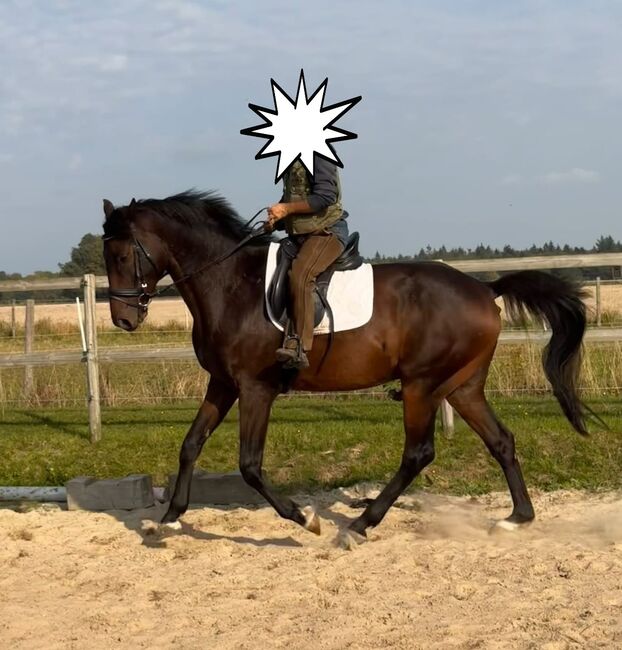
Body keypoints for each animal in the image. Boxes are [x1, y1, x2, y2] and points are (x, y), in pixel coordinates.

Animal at [102, 190, 592, 540]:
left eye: (122, 256)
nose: (124, 320)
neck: (230, 285)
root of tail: (485, 289)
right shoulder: (222, 383)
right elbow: (190, 444)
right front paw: (169, 518)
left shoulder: (256, 388)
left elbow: (250, 465)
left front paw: (305, 519)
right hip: (461, 386)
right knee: (501, 440)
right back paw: (518, 517)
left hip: (421, 385)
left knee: (418, 453)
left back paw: (359, 526)